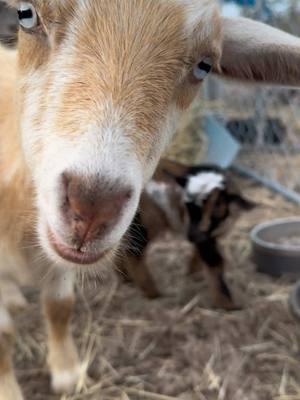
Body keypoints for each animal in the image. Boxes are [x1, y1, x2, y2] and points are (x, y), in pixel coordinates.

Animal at [0, 1, 300, 398]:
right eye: (26, 14)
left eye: (204, 65)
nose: (92, 207)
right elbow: (4, 335)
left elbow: (60, 306)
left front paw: (67, 374)